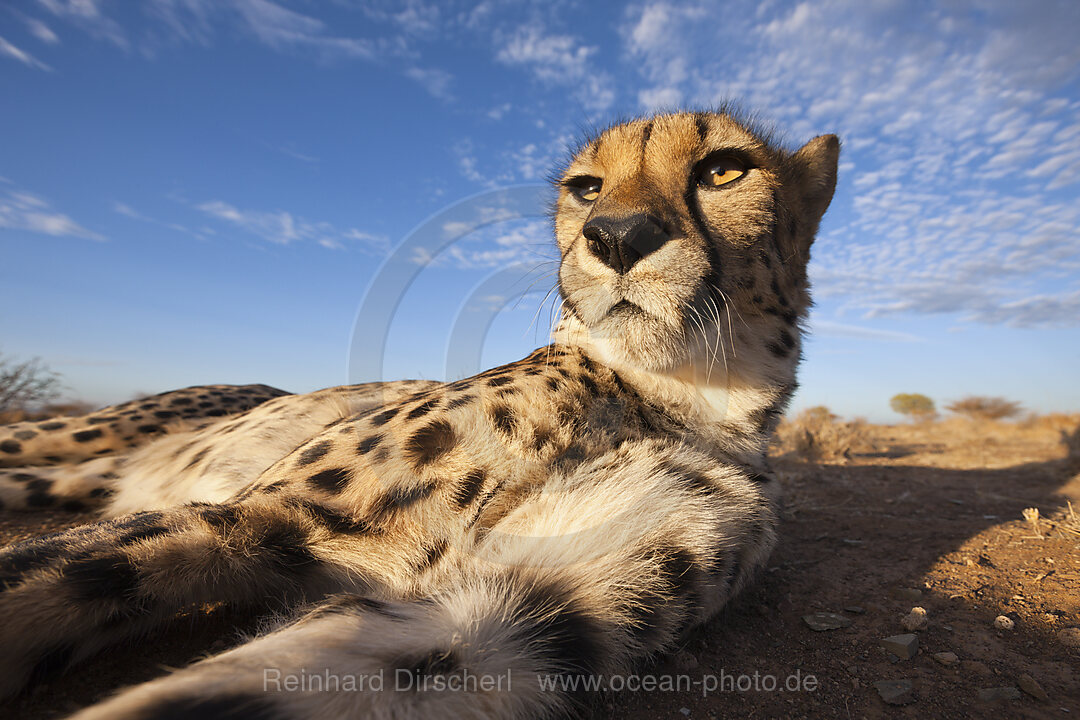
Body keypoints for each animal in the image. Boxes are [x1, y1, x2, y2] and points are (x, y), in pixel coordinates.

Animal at [0, 108, 833, 720]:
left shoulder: (503, 619)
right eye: (587, 188)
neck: (688, 396)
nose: (616, 236)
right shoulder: (264, 512)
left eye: (723, 169)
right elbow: (50, 575)